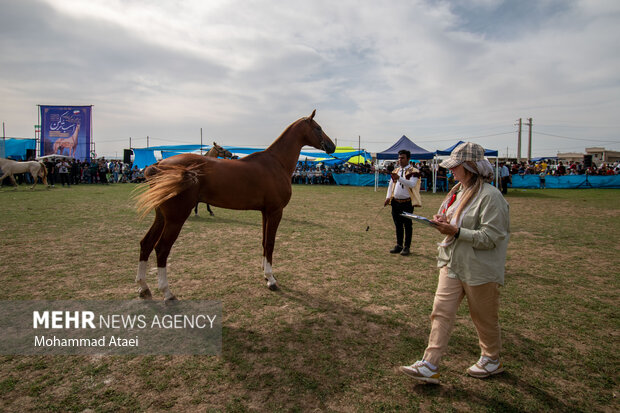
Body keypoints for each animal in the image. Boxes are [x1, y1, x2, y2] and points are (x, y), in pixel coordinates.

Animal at [137, 109, 334, 298]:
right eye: (318, 128)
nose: (332, 146)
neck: (277, 163)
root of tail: (159, 164)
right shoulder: (275, 211)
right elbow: (270, 243)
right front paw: (271, 279)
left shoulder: (265, 212)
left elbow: (264, 242)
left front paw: (265, 274)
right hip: (176, 218)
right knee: (162, 249)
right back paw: (167, 292)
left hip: (162, 217)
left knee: (146, 243)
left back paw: (143, 287)